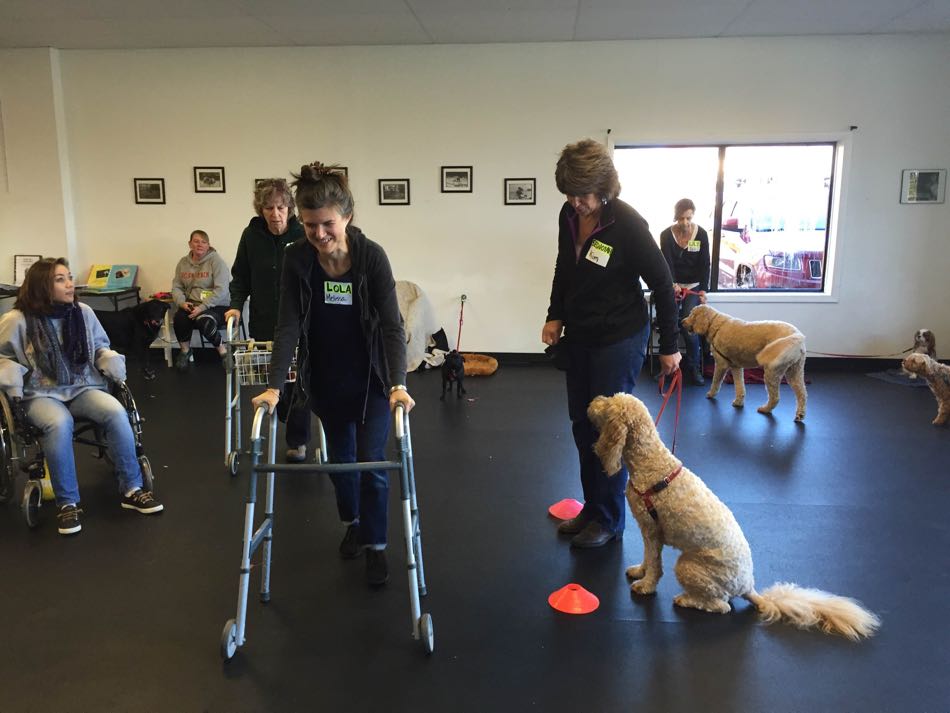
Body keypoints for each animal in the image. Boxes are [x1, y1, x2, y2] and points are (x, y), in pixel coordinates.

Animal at [588, 390, 884, 640]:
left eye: (608, 404)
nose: (593, 400)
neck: (651, 463)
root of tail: (749, 587)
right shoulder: (649, 533)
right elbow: (648, 559)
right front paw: (640, 571)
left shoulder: (652, 530)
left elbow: (655, 564)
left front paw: (646, 585)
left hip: (688, 566)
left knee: (721, 606)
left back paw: (687, 599)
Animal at [680, 304, 808, 420]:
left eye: (692, 314)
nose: (681, 322)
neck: (716, 325)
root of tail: (797, 336)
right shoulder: (736, 367)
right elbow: (739, 386)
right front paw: (739, 401)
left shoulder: (721, 364)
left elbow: (715, 382)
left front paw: (711, 394)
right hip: (794, 372)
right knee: (802, 394)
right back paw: (800, 414)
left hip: (772, 373)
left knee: (775, 397)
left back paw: (765, 409)